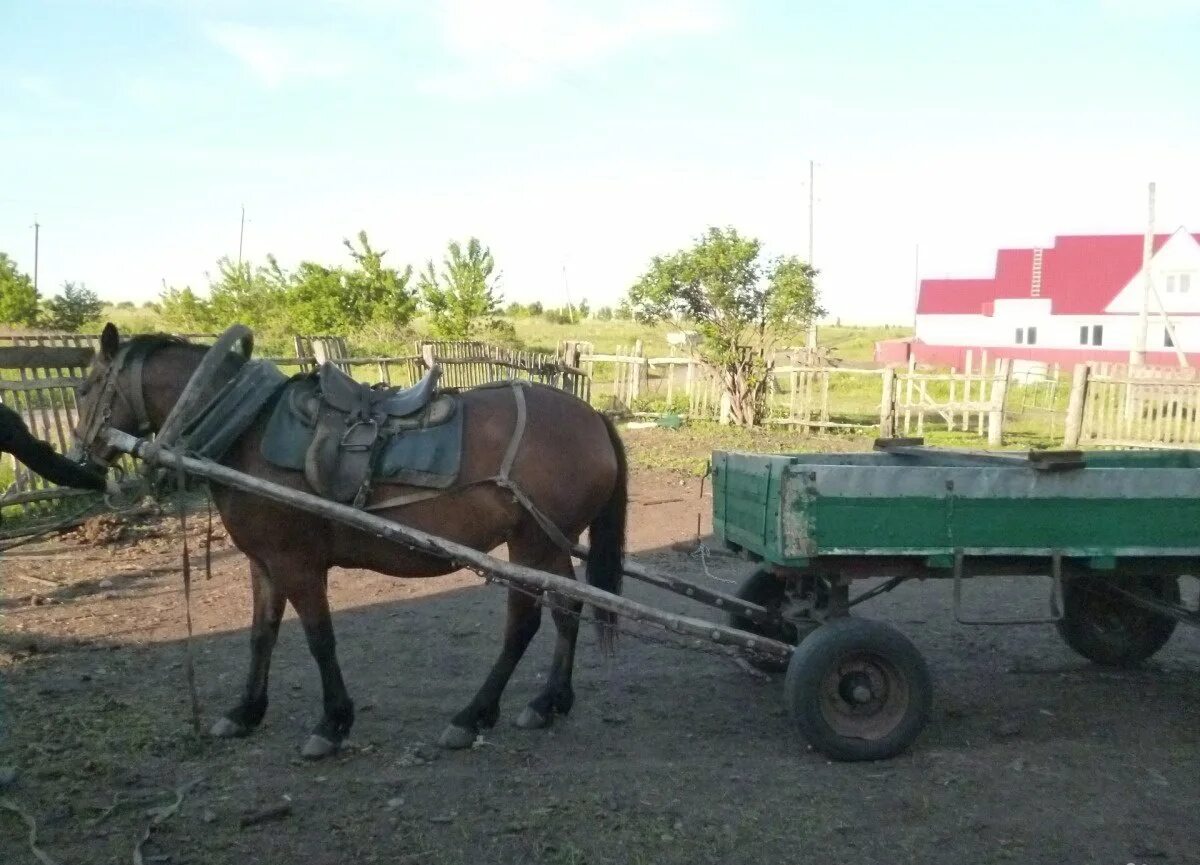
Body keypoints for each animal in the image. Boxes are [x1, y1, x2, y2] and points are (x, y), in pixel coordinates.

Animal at [72, 323, 628, 758]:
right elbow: (261, 634)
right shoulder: (264, 563)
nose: (82, 456)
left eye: (88, 387)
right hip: (553, 543)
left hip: (531, 545)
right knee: (567, 612)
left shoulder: (296, 563)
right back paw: (549, 702)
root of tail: (592, 416)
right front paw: (246, 712)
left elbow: (320, 639)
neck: (247, 430)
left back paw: (473, 715)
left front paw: (332, 723)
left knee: (524, 624)